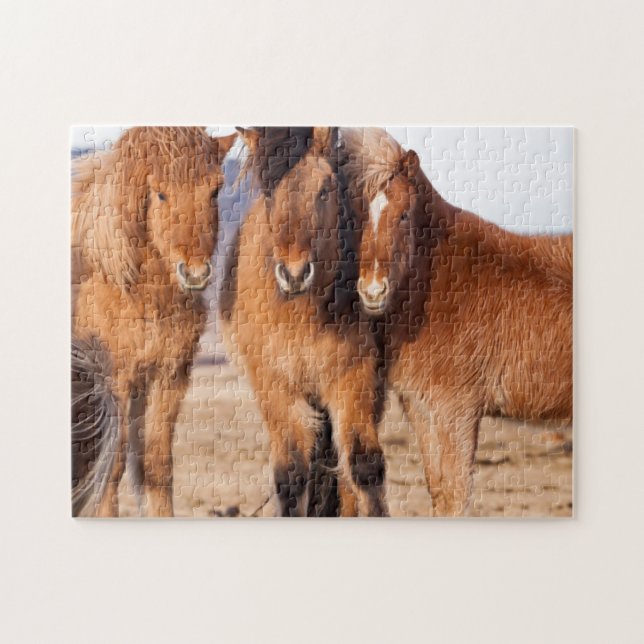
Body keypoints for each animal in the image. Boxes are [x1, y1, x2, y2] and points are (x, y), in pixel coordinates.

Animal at [71, 126, 236, 517]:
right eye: (160, 193)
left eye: (215, 189)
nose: (195, 273)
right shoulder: (114, 382)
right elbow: (112, 468)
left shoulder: (168, 376)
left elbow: (157, 466)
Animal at [220, 126, 387, 517]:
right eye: (269, 193)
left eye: (325, 188)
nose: (294, 273)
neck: (301, 314)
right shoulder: (274, 384)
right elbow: (291, 474)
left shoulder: (354, 377)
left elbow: (364, 467)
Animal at [342, 128, 573, 517]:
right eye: (355, 217)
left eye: (404, 214)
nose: (373, 291)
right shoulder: (421, 409)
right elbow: (439, 491)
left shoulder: (459, 411)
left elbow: (456, 495)